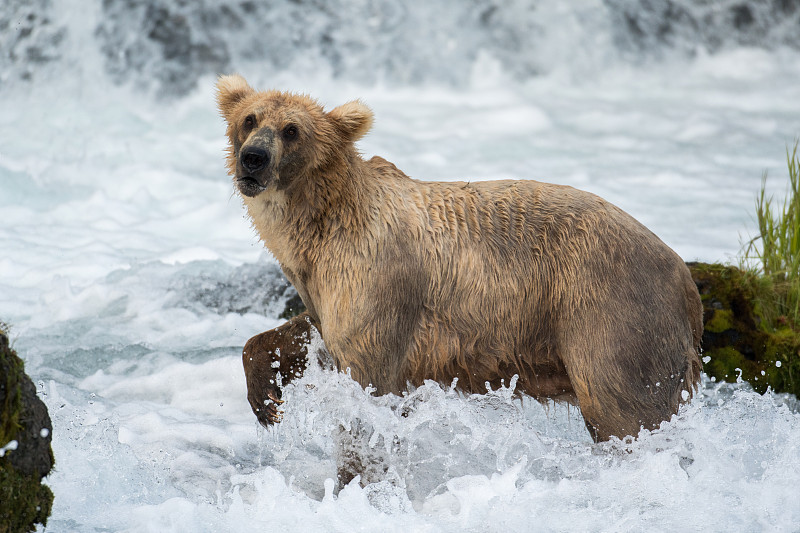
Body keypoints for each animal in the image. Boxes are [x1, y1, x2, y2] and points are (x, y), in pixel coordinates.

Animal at [217, 74, 700, 440]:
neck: (319, 226)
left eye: (292, 130)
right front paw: (266, 400)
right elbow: (307, 334)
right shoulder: (329, 286)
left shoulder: (377, 277)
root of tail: (684, 276)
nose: (254, 158)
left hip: (607, 309)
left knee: (625, 409)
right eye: (249, 119)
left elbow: (370, 383)